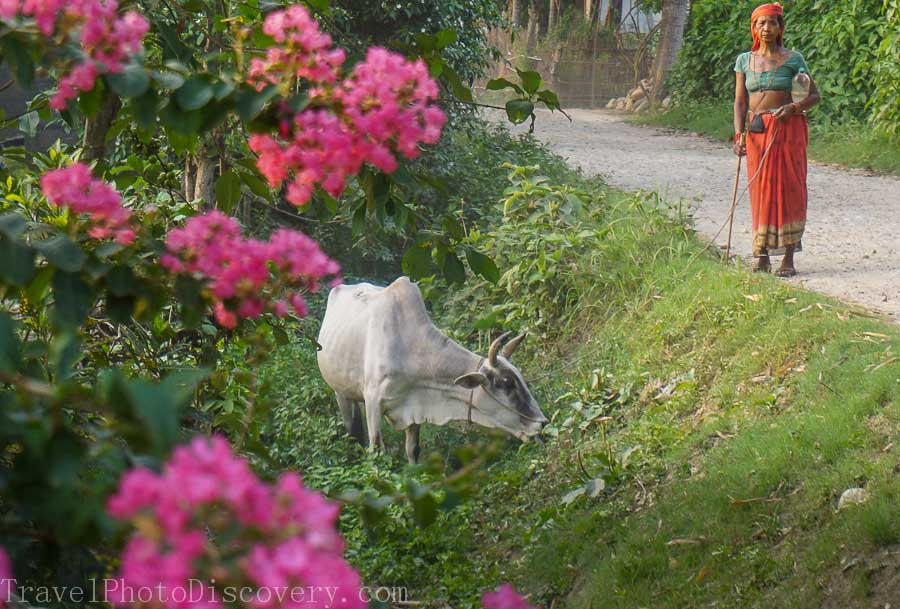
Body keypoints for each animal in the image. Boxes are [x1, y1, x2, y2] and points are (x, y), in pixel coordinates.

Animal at [320, 276, 552, 460]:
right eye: (506, 383)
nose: (542, 423)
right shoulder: (373, 401)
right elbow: (376, 448)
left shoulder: (414, 405)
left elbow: (413, 449)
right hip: (340, 392)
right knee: (351, 430)